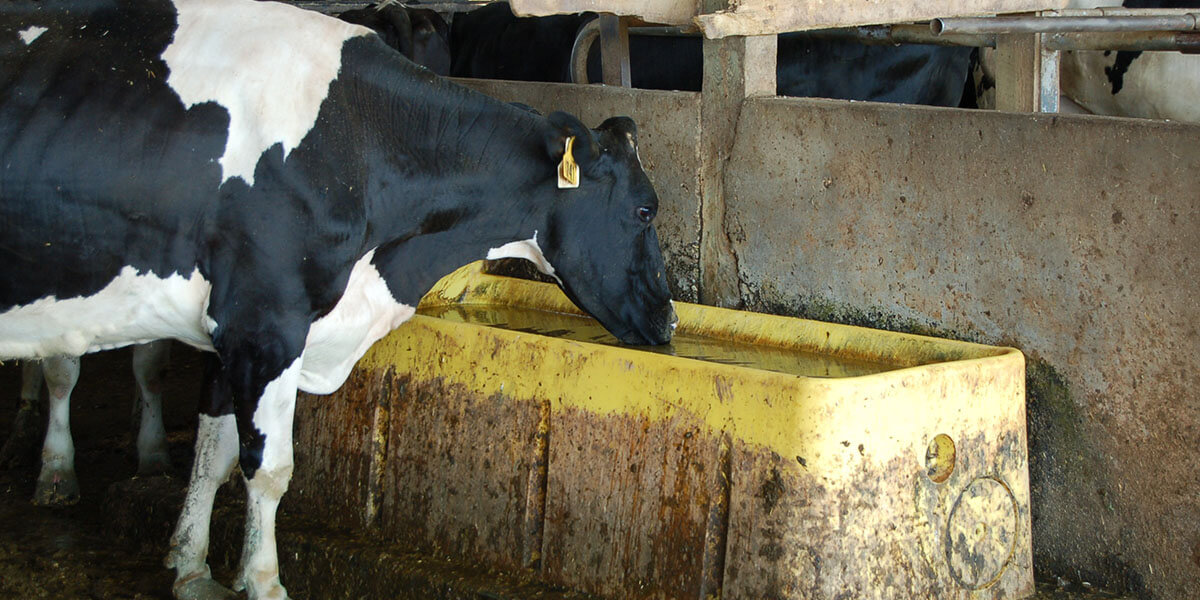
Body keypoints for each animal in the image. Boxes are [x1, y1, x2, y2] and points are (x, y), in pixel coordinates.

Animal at [0, 2, 676, 597]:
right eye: (645, 211)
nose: (669, 321)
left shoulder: (231, 330)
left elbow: (213, 454)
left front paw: (191, 569)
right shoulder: (265, 323)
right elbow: (269, 469)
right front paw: (264, 583)